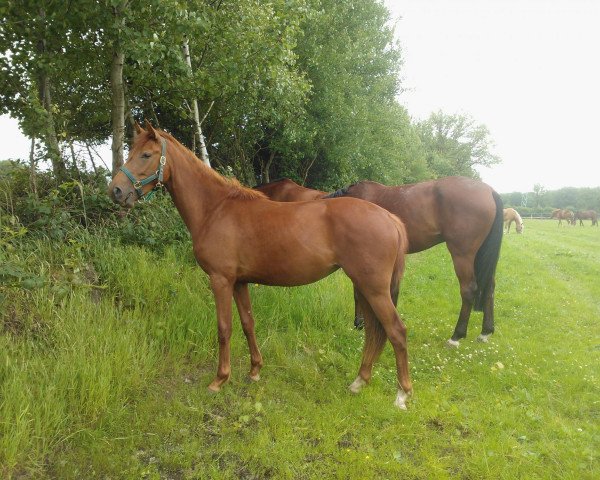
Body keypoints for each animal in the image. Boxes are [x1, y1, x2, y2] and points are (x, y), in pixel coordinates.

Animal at [108, 123, 412, 408]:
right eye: (131, 152)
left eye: (146, 155)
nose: (116, 191)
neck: (215, 209)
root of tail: (390, 218)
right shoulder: (240, 282)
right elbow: (248, 323)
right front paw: (254, 370)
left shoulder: (220, 280)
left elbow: (224, 328)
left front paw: (219, 379)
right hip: (364, 287)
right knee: (374, 332)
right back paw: (359, 382)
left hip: (373, 289)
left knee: (396, 331)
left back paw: (402, 394)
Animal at [326, 178, 504, 346]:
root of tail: (490, 191)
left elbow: (357, 294)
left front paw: (359, 324)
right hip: (481, 255)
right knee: (490, 286)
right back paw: (485, 332)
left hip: (463, 255)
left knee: (468, 290)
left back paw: (456, 337)